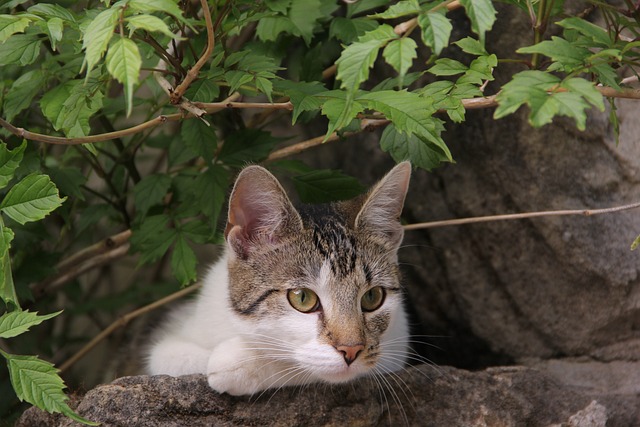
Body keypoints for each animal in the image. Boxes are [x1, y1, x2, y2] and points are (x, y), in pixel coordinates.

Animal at [146, 162, 410, 396]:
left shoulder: (399, 340)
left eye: (372, 297)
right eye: (302, 298)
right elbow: (171, 357)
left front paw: (242, 361)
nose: (352, 349)